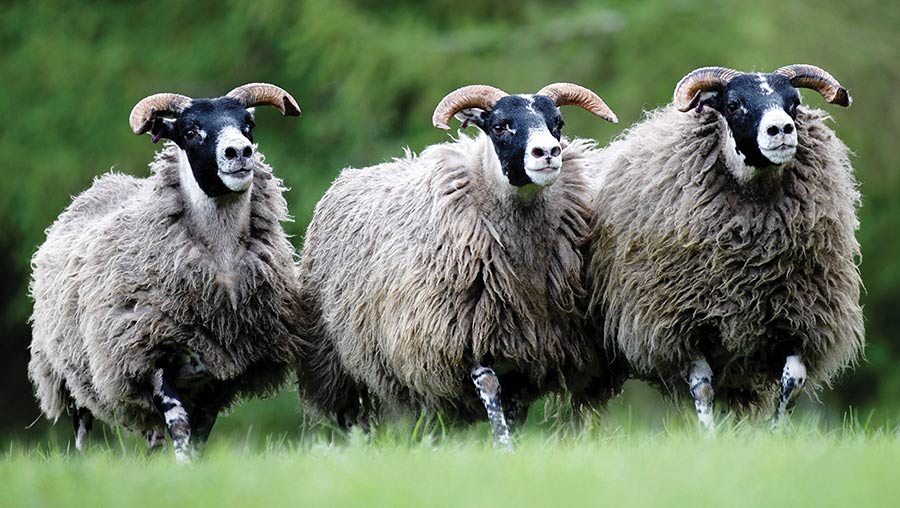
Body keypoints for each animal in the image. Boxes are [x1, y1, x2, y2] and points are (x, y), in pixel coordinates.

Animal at [28, 82, 306, 460]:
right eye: (189, 132)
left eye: (248, 124)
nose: (239, 152)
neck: (221, 264)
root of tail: (97, 188)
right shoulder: (151, 359)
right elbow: (180, 426)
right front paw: (184, 467)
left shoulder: (216, 377)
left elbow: (198, 435)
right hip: (68, 374)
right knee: (83, 428)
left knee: (152, 437)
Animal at [298, 83, 624, 448]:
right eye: (500, 126)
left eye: (558, 122)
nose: (548, 153)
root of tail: (350, 174)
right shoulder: (459, 341)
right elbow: (490, 388)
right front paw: (503, 446)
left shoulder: (526, 350)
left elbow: (514, 406)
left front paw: (510, 443)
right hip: (340, 362)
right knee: (356, 416)